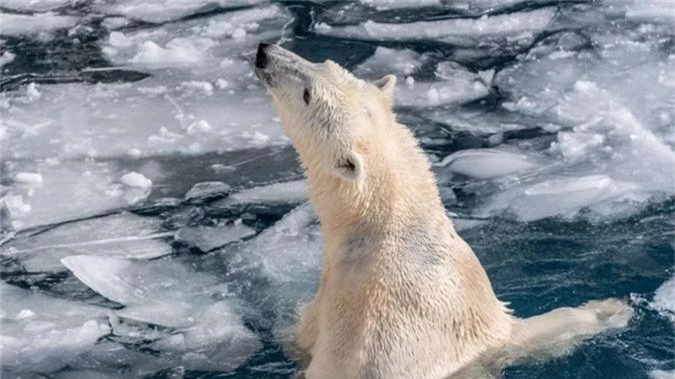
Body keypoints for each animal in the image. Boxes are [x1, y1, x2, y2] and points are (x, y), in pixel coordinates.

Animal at [252, 44, 632, 379]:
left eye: (309, 90)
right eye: (320, 67)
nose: (264, 52)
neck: (389, 230)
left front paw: (612, 307)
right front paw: (611, 309)